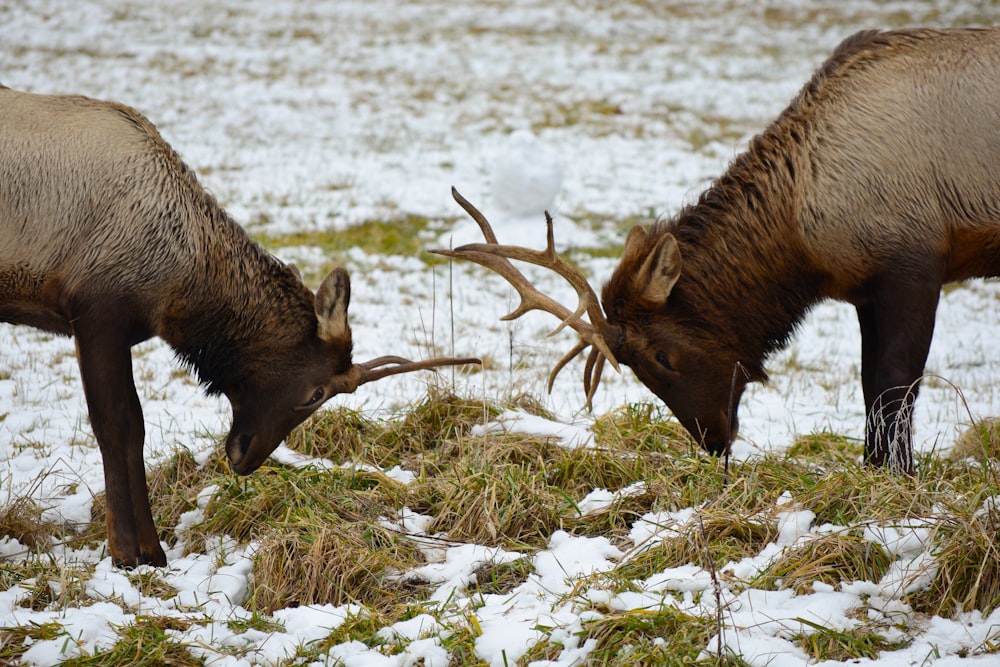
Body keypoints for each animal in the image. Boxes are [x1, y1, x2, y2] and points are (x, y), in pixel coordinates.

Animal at [0, 86, 476, 568]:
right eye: (316, 393)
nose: (246, 457)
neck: (178, 286)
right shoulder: (96, 311)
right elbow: (120, 426)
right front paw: (133, 553)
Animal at [438, 27, 1000, 474]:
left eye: (662, 355)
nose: (714, 441)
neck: (804, 235)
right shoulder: (864, 287)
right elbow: (869, 388)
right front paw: (875, 467)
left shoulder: (914, 265)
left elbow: (895, 385)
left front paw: (898, 475)